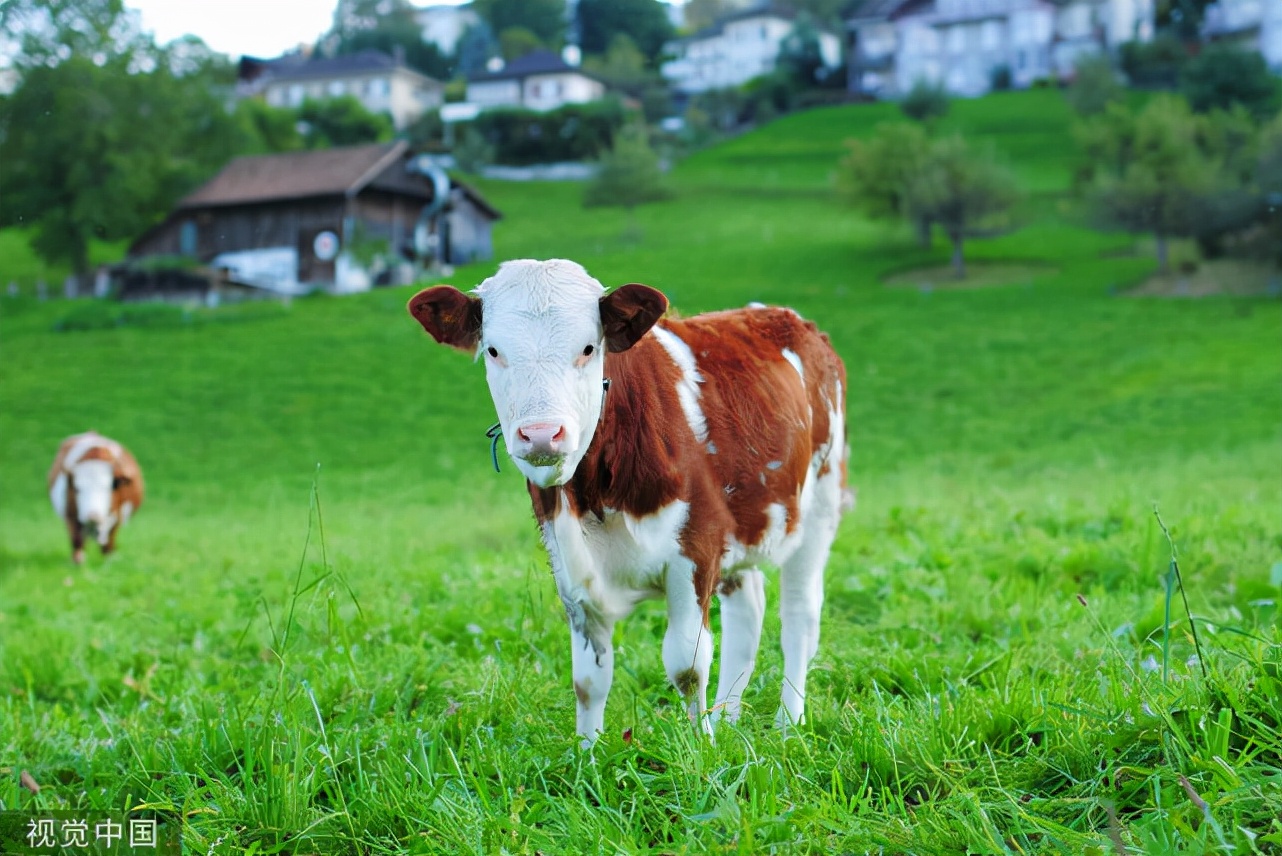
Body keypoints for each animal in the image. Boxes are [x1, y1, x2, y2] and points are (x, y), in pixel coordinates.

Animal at [47, 430, 144, 563]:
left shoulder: (117, 517)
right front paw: (78, 561)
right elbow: (77, 541)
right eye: (77, 489)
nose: (92, 516)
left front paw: (110, 561)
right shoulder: (70, 515)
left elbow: (109, 543)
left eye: (109, 488)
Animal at [410, 258, 851, 743]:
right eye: (492, 350)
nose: (541, 434)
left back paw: (789, 723)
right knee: (747, 613)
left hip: (821, 500)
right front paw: (588, 753)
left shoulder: (697, 544)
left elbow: (688, 664)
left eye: (588, 347)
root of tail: (781, 315)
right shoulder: (567, 559)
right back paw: (728, 719)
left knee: (799, 616)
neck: (595, 497)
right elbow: (588, 679)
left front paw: (702, 750)